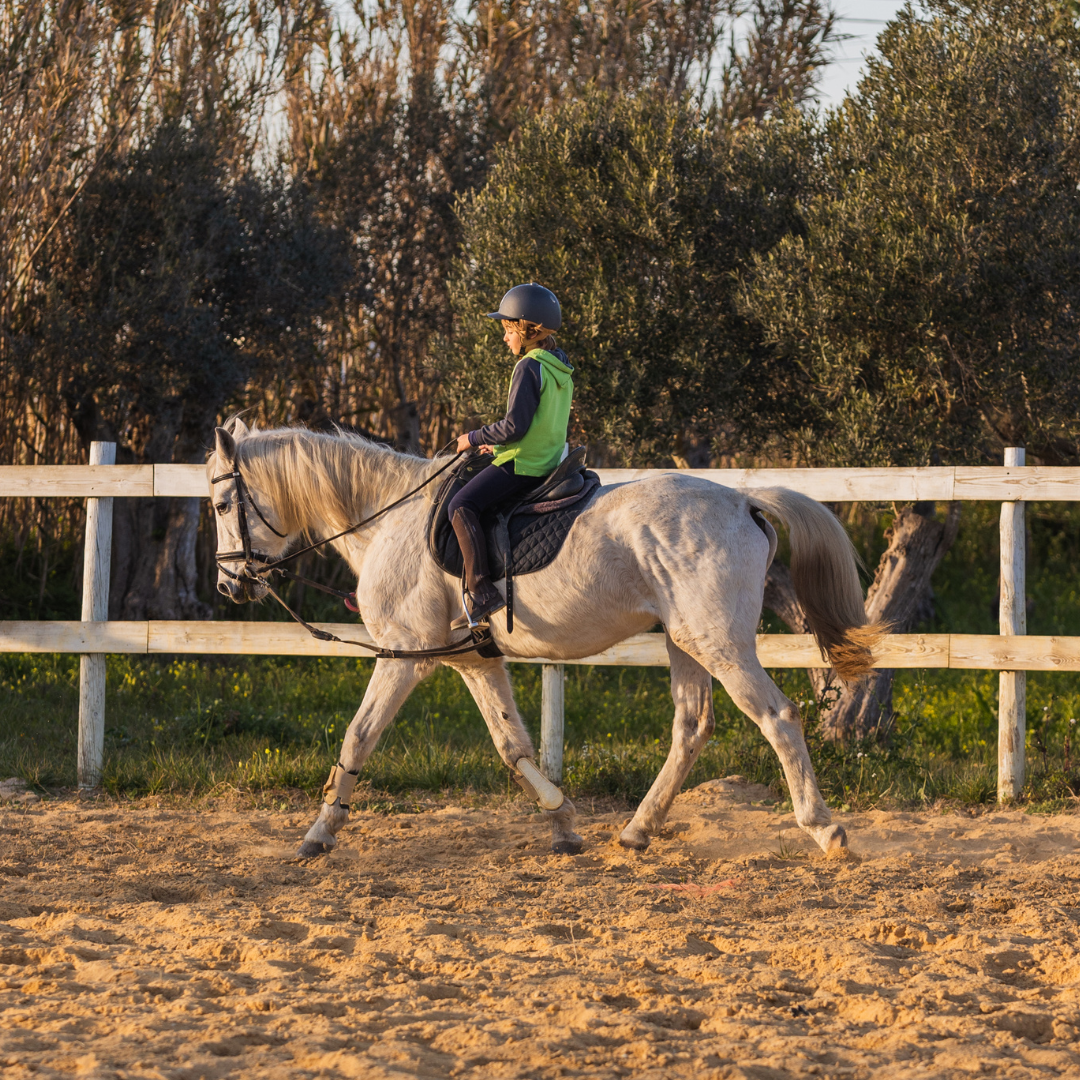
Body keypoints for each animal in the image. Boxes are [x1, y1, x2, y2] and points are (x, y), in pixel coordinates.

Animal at [206, 421, 881, 859]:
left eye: (219, 503)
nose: (229, 584)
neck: (388, 519)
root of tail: (744, 501)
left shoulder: (405, 655)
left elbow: (359, 735)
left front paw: (319, 833)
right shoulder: (470, 661)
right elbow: (513, 747)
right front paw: (564, 825)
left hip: (719, 643)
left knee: (777, 717)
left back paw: (825, 830)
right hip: (684, 642)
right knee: (691, 727)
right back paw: (636, 830)